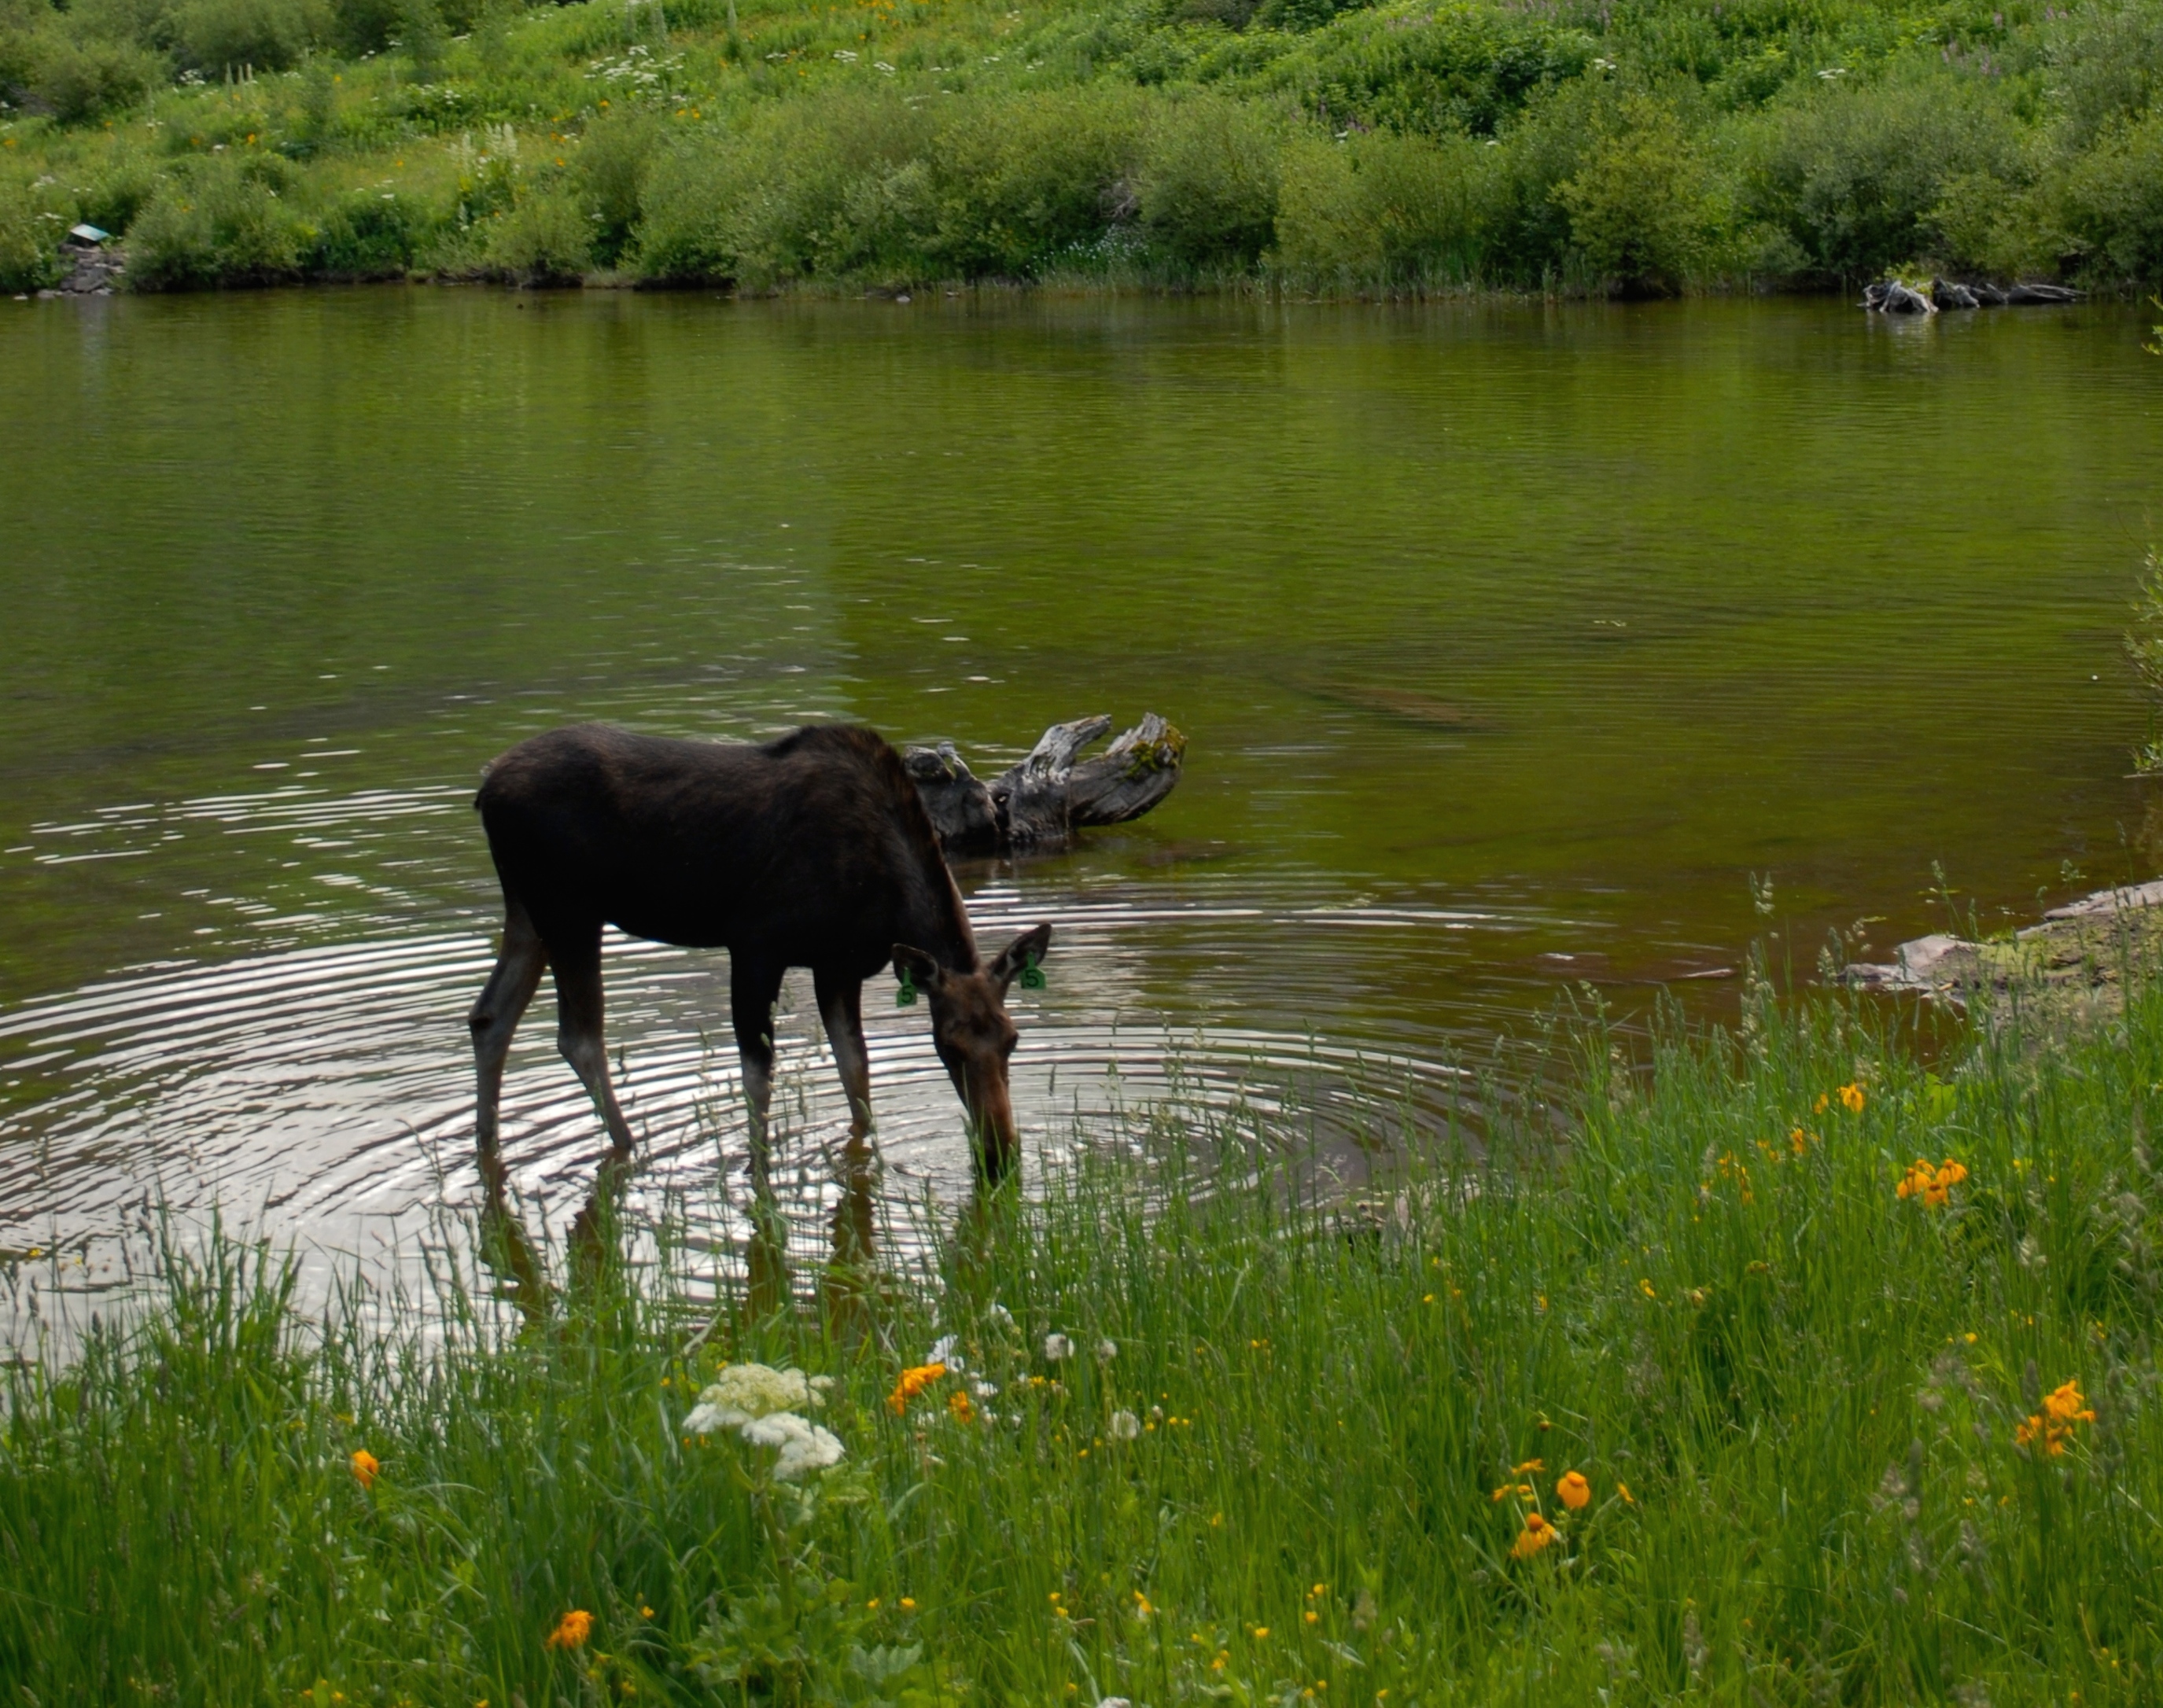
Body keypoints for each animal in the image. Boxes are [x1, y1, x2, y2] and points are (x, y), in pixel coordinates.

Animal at [467, 731, 1056, 1193]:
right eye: (948, 1045)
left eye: (1012, 1040)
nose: (1000, 1154)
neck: (887, 899)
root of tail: (485, 789)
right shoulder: (756, 947)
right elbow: (760, 1076)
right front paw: (757, 1174)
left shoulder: (838, 967)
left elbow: (855, 1071)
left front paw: (866, 1162)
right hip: (569, 910)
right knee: (579, 1037)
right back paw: (627, 1146)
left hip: (527, 911)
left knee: (490, 1016)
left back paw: (486, 1148)